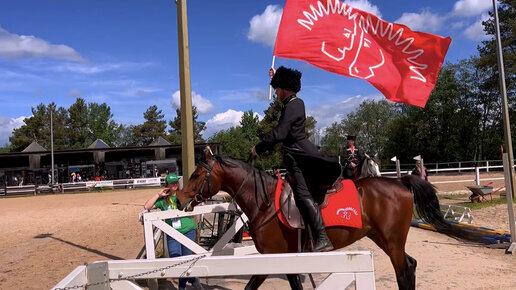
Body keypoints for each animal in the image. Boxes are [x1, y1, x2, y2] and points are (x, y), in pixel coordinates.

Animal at [177, 152, 488, 290]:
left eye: (196, 174)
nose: (179, 199)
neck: (263, 201)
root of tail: (399, 181)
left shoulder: (275, 259)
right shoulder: (287, 261)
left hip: (392, 240)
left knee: (404, 269)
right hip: (382, 238)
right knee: (409, 266)